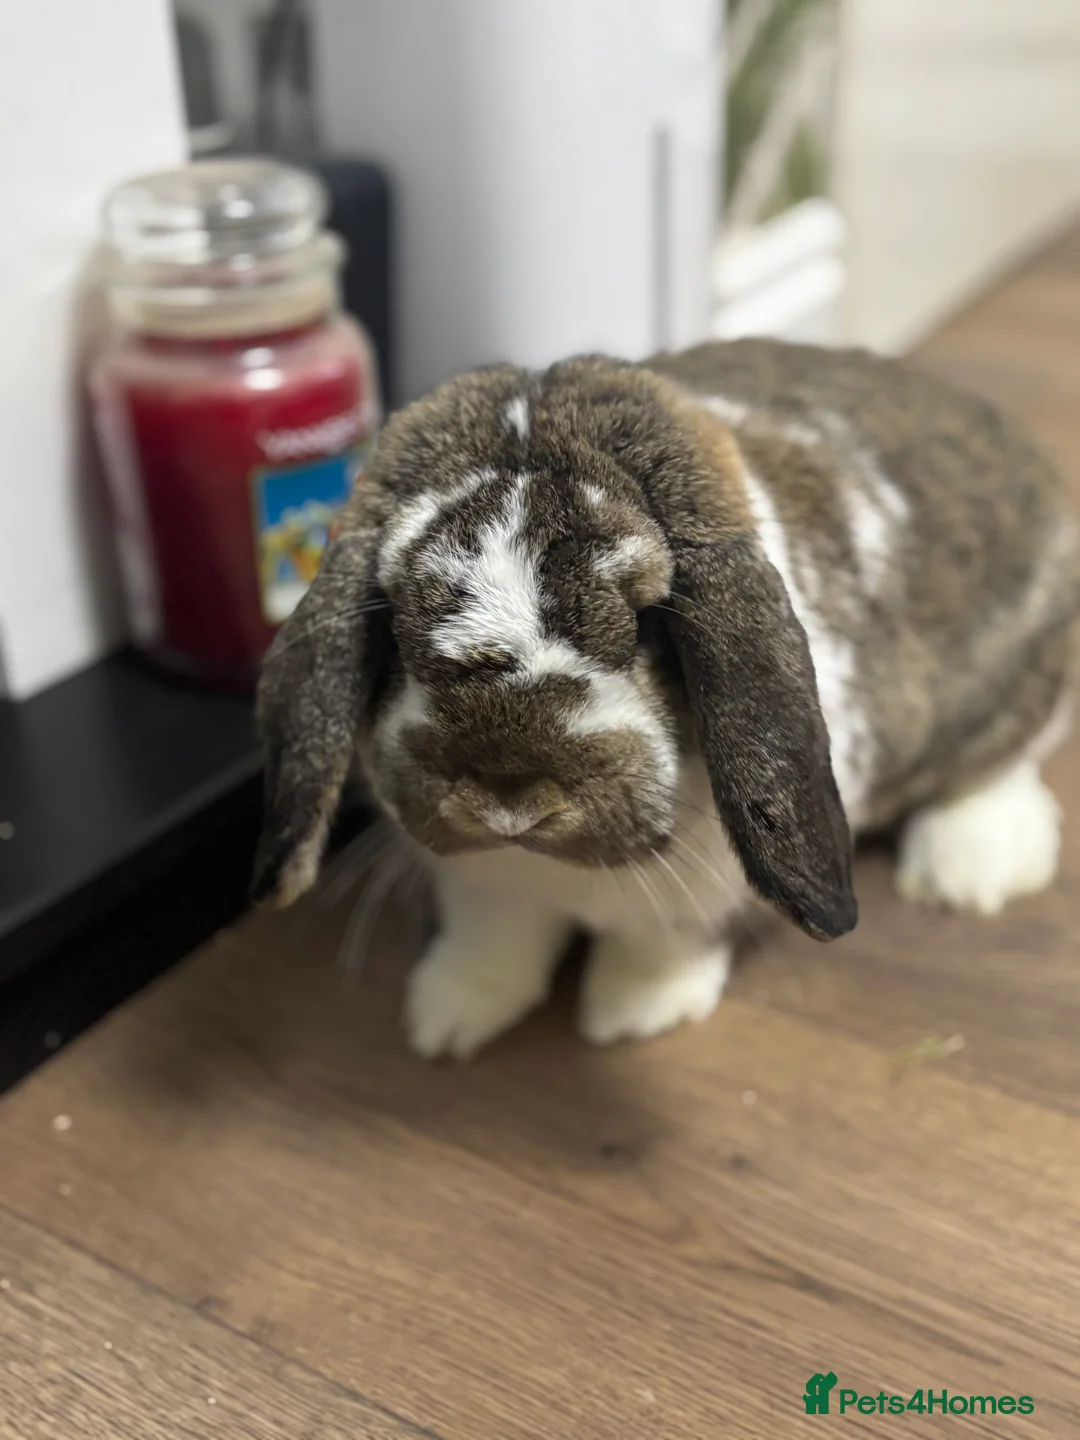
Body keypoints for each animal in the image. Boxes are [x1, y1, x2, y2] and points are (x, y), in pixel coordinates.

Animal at [252, 338, 1080, 1059]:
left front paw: (631, 1014)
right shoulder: (479, 884)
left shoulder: (701, 896)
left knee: (1001, 768)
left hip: (1021, 688)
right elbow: (492, 936)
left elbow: (660, 943)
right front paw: (448, 1017)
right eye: (394, 617)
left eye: (649, 620)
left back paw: (968, 873)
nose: (507, 799)